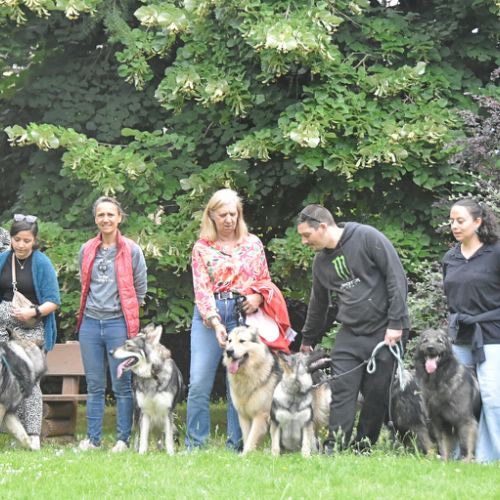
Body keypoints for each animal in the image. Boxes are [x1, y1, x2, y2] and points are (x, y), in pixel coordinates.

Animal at [112, 323, 184, 454]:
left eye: (128, 345)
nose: (110, 352)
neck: (152, 375)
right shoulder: (144, 412)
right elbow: (143, 438)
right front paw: (141, 454)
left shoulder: (167, 412)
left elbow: (168, 439)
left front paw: (170, 454)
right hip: (137, 413)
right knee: (138, 435)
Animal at [223, 325, 282, 454]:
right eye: (229, 341)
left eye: (242, 341)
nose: (229, 351)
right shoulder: (243, 415)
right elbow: (247, 437)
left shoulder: (260, 415)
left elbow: (251, 438)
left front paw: (245, 455)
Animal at [414, 328, 480, 461]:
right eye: (425, 341)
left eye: (439, 341)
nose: (430, 348)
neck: (438, 380)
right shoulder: (441, 423)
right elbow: (444, 445)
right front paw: (444, 462)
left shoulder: (466, 420)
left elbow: (466, 444)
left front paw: (466, 461)